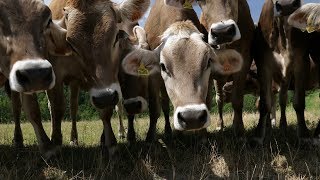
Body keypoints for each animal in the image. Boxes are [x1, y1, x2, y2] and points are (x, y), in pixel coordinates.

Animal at [0, 0, 74, 156]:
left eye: (48, 20)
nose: (36, 73)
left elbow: (34, 109)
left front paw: (49, 147)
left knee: (16, 108)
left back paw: (18, 141)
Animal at [46, 0, 150, 155]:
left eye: (116, 37)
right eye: (70, 44)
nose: (105, 97)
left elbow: (106, 111)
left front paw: (111, 143)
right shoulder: (56, 73)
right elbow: (57, 107)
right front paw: (56, 143)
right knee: (63, 108)